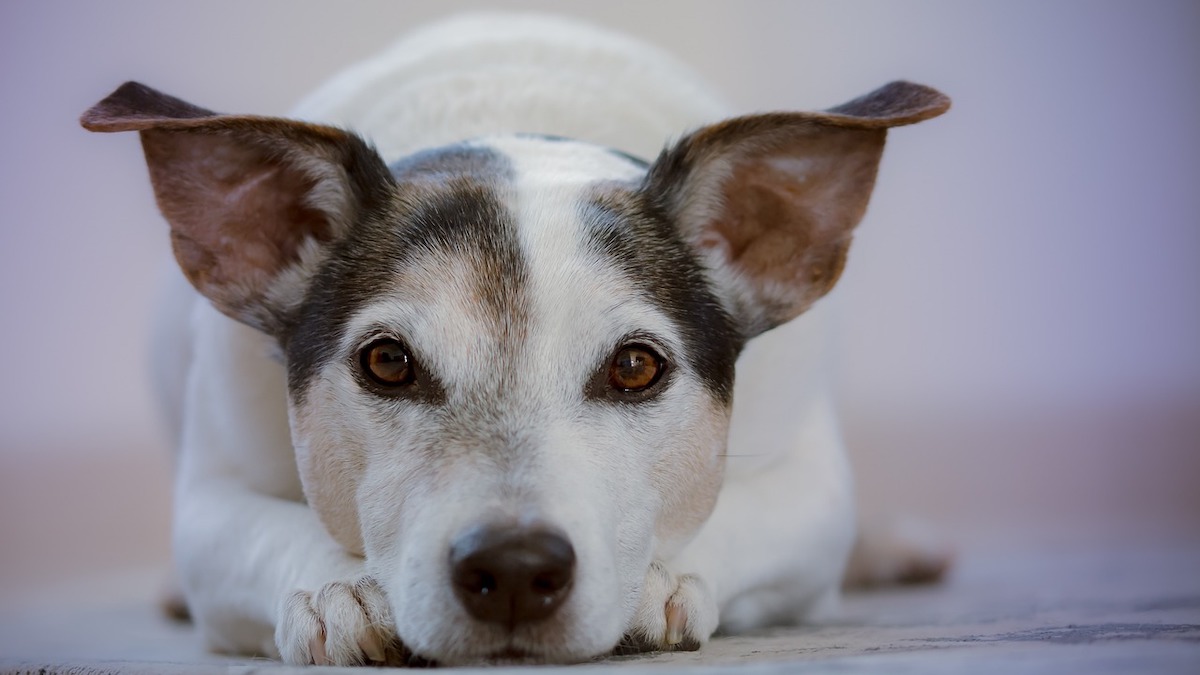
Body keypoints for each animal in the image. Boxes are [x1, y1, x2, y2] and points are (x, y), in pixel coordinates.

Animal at [79, 13, 950, 662]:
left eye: (637, 366)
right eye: (386, 361)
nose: (515, 566)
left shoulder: (812, 487)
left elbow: (742, 514)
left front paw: (658, 579)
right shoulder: (211, 496)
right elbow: (261, 530)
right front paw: (340, 587)